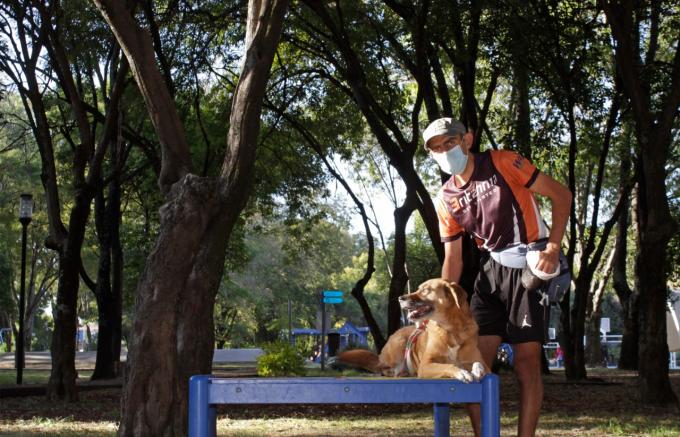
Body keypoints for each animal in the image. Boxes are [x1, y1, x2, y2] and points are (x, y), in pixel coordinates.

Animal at [336, 278, 486, 380]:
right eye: (419, 288)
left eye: (425, 290)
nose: (400, 298)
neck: (450, 330)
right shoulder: (425, 365)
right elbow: (448, 365)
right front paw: (461, 372)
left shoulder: (480, 362)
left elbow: (478, 363)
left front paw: (478, 370)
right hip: (398, 345)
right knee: (382, 368)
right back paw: (394, 371)